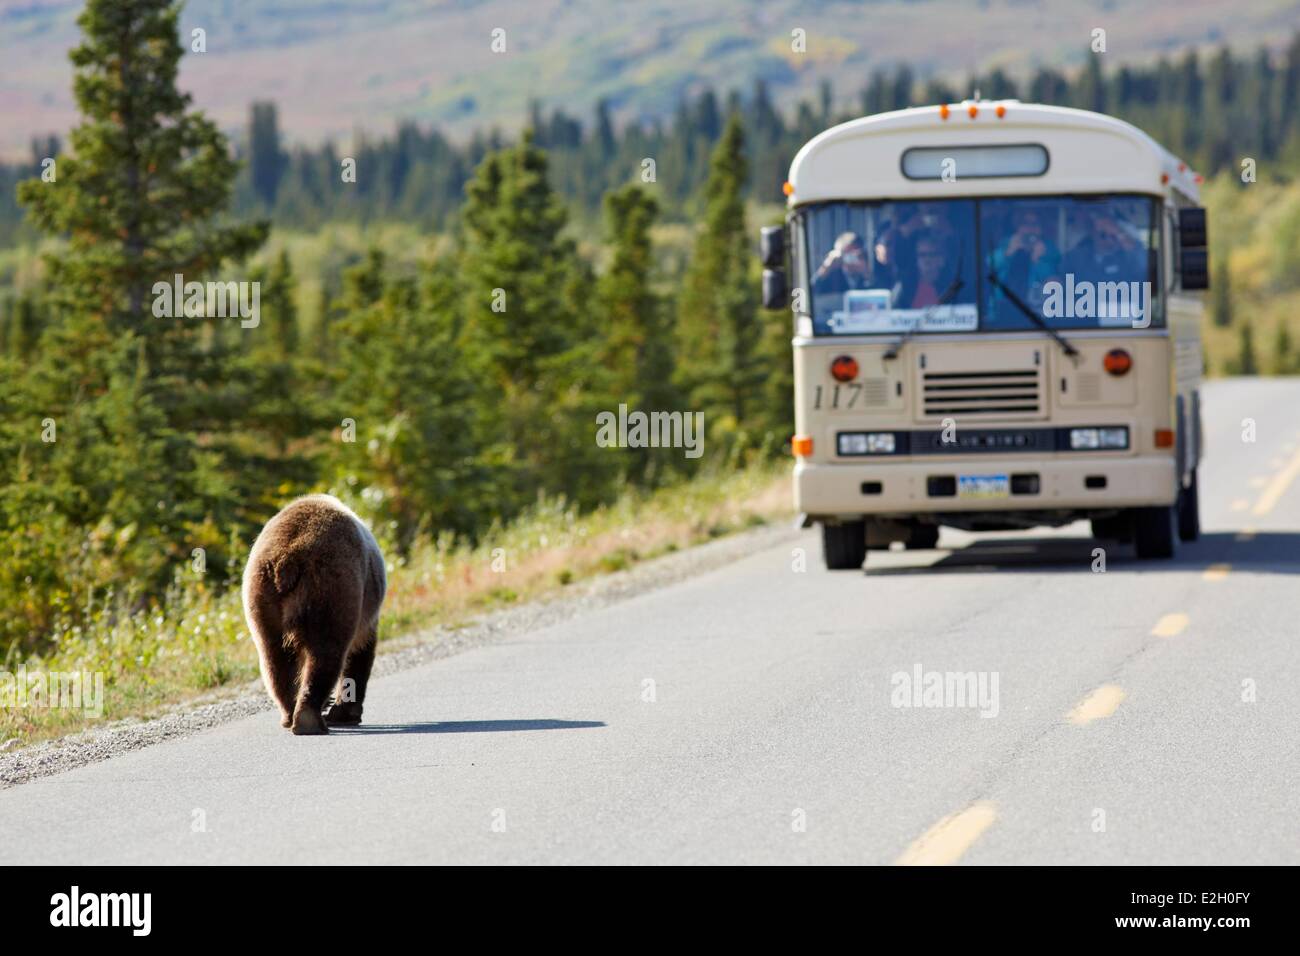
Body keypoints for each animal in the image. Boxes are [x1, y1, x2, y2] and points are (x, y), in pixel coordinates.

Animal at [243, 496, 384, 738]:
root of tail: (287, 559)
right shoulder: (365, 614)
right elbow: (360, 654)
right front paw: (346, 713)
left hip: (262, 599)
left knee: (275, 659)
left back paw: (290, 715)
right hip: (330, 587)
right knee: (326, 652)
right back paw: (311, 721)